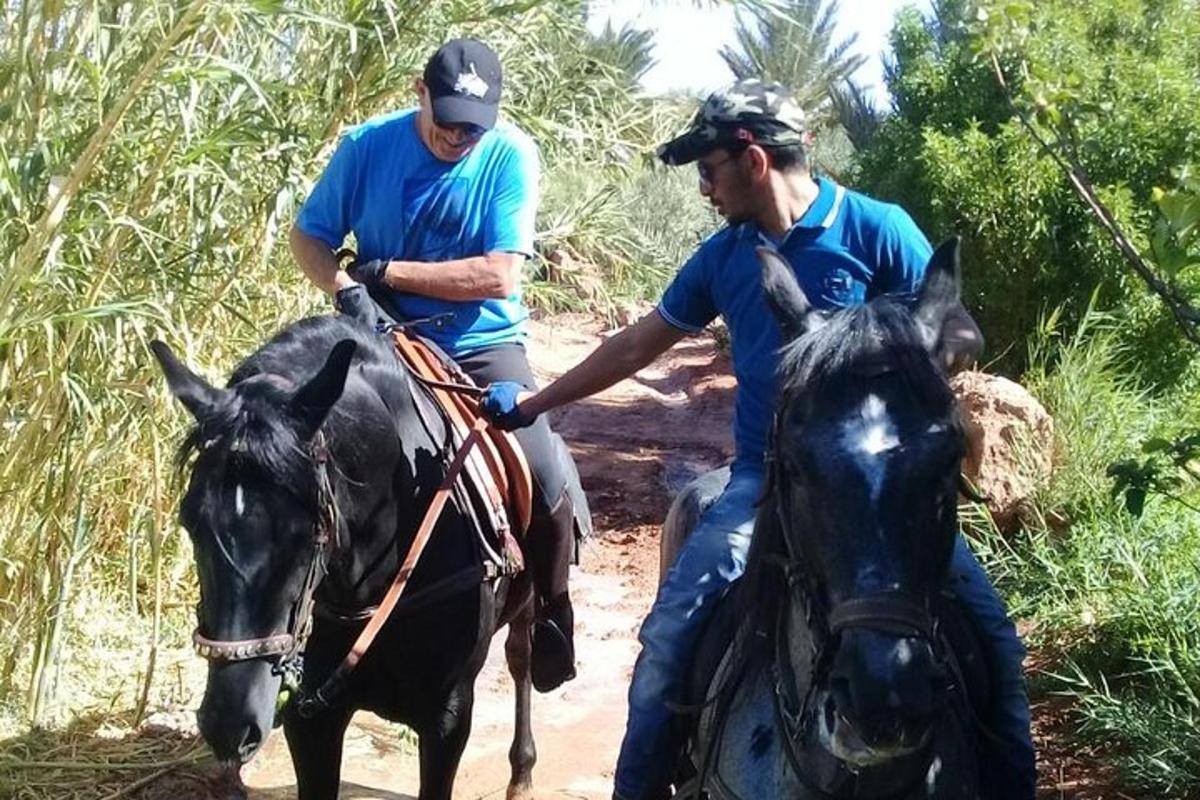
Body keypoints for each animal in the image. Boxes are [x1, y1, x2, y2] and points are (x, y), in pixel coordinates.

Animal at [153, 319, 535, 800]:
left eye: (307, 528)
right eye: (190, 521)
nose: (228, 725)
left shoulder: (448, 717)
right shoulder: (311, 720)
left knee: (521, 656)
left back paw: (522, 773)